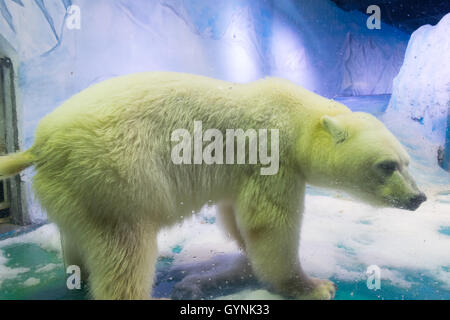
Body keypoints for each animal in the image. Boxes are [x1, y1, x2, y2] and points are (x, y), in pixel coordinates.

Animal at [0, 72, 426, 300]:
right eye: (387, 165)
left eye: (407, 162)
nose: (418, 198)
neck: (296, 117)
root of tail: (40, 145)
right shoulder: (272, 157)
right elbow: (271, 225)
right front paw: (316, 286)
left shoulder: (242, 171)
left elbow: (236, 214)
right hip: (116, 177)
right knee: (125, 251)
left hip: (75, 191)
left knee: (77, 237)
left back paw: (80, 273)